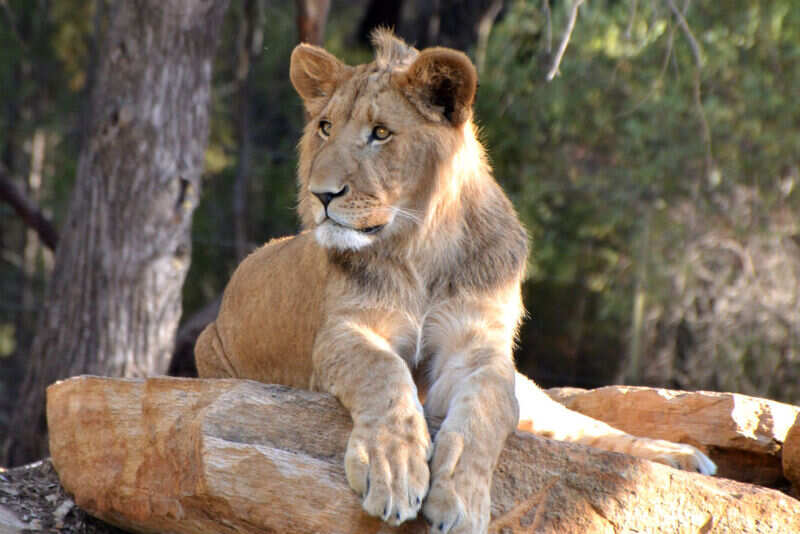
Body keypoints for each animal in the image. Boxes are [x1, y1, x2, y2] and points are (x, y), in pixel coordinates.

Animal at [195, 29, 716, 533]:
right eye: (325, 127)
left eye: (380, 133)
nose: (320, 194)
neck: (422, 245)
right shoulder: (345, 332)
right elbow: (383, 374)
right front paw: (394, 470)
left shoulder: (480, 347)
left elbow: (485, 409)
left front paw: (460, 499)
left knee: (584, 428)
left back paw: (684, 457)